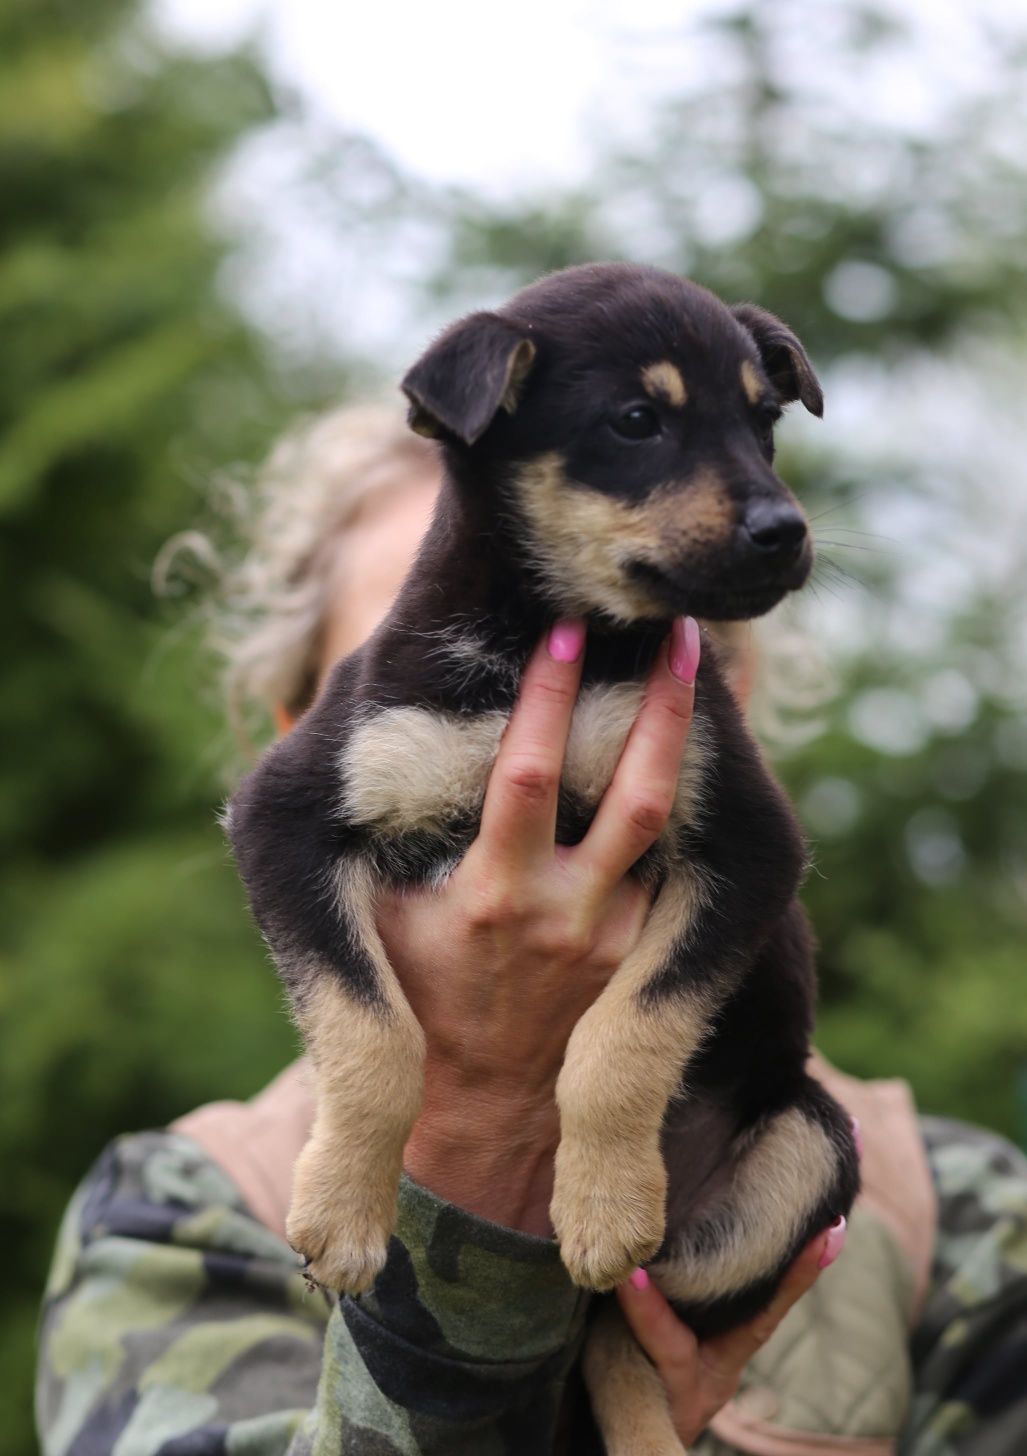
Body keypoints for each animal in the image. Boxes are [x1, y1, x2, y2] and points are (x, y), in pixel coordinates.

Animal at [228, 264, 862, 1444]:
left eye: (763, 421)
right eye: (635, 421)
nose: (786, 530)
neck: (548, 641)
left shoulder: (749, 842)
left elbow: (625, 1035)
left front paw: (604, 1200)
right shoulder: (282, 819)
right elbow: (370, 1033)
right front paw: (340, 1212)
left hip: (804, 1151)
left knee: (615, 1316)